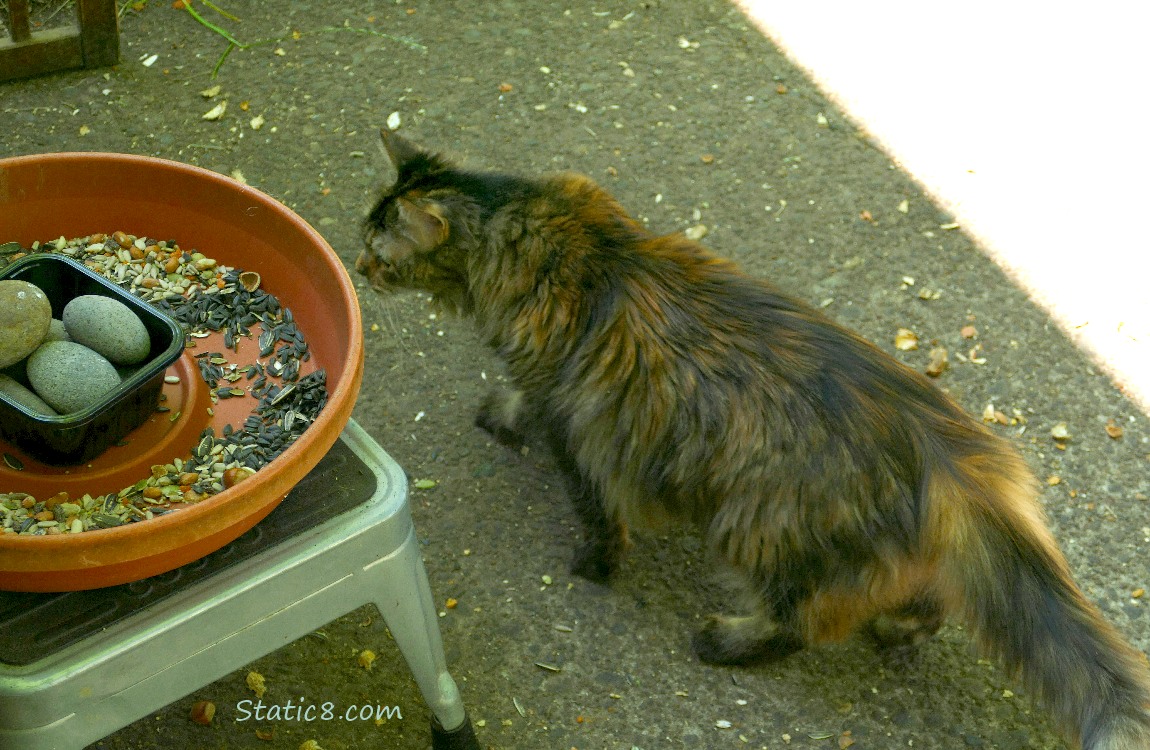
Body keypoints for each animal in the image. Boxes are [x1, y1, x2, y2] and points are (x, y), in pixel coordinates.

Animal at [358, 131, 1150, 745]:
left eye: (377, 248)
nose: (359, 267)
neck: (533, 231)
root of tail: (946, 455)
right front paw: (498, 414)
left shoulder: (575, 420)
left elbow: (592, 506)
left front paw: (591, 563)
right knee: (927, 602)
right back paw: (898, 632)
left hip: (756, 527)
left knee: (802, 624)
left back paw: (726, 640)